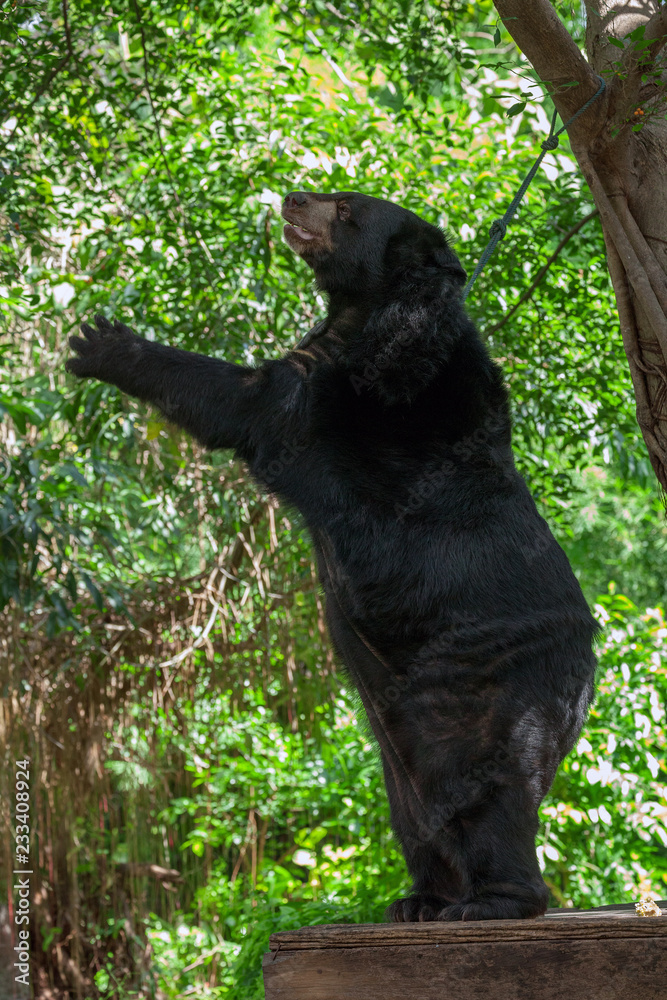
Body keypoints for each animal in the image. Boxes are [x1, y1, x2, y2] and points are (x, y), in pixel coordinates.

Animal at [67, 190, 599, 922]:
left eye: (347, 209)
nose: (292, 196)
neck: (362, 312)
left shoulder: (360, 387)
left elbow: (247, 402)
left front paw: (101, 342)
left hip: (504, 687)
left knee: (493, 792)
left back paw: (493, 901)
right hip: (398, 748)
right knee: (422, 816)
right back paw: (421, 901)